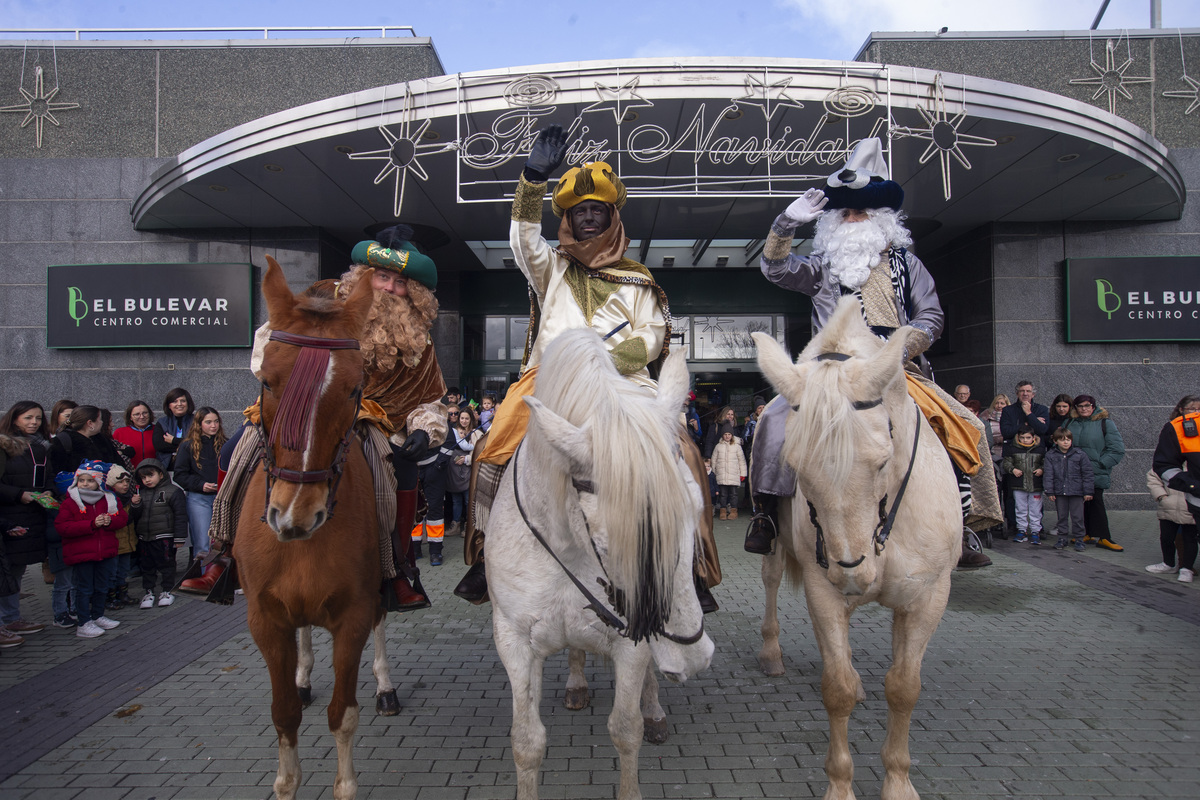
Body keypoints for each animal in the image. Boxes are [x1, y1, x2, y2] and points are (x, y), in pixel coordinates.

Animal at [234, 256, 379, 800]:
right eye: (267, 381)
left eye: (355, 388)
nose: (295, 514)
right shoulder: (264, 618)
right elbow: (284, 715)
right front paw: (286, 781)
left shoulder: (355, 614)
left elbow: (344, 715)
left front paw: (345, 783)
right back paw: (302, 674)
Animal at [484, 326, 710, 800]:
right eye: (608, 541)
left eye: (697, 510)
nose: (693, 657)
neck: (569, 547)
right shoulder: (513, 639)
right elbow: (527, 741)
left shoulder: (634, 641)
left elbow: (626, 729)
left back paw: (655, 709)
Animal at [753, 299, 960, 800]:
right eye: (794, 466)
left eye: (883, 461)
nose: (851, 571)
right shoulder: (822, 590)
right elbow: (838, 689)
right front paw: (841, 785)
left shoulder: (928, 596)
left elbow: (904, 687)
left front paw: (898, 782)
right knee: (772, 581)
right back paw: (771, 653)